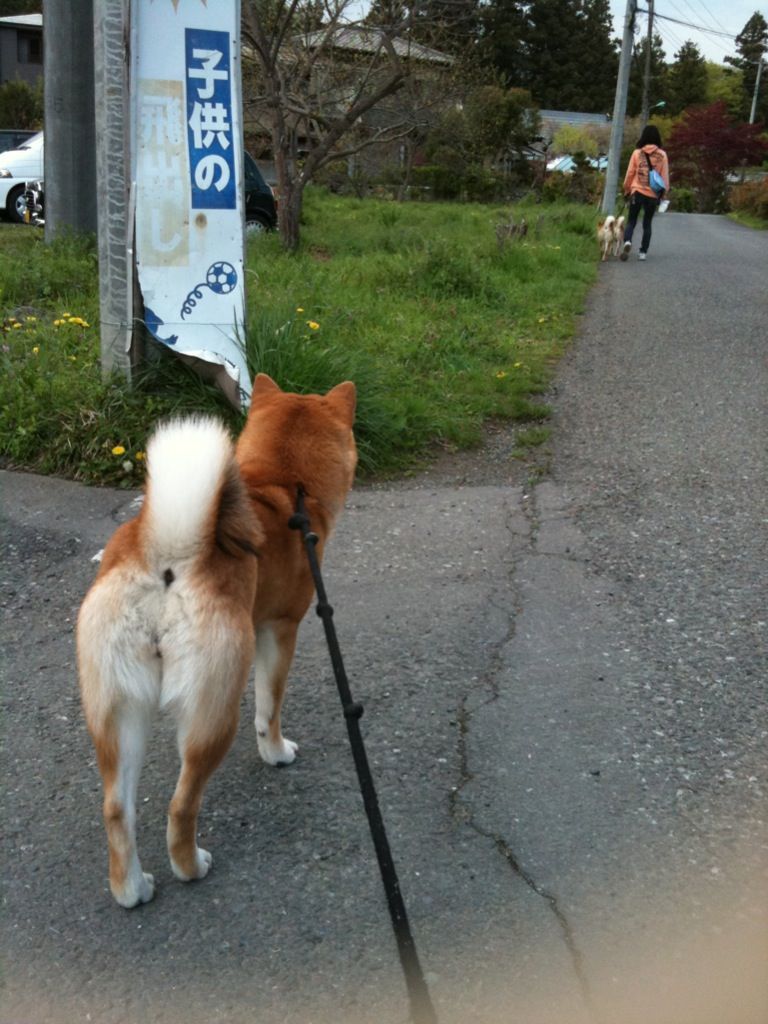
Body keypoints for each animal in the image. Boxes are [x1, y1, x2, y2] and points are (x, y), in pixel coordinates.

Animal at [77, 373, 357, 907]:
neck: (282, 484)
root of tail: (168, 560)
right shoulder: (280, 630)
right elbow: (269, 710)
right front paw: (277, 753)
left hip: (119, 711)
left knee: (116, 809)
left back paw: (132, 889)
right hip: (215, 708)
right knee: (181, 805)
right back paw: (191, 867)